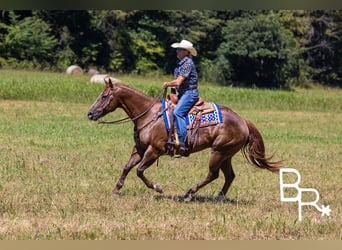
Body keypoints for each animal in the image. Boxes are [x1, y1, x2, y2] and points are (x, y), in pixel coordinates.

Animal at [87, 78, 282, 201]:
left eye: (104, 96)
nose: (90, 113)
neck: (149, 115)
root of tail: (243, 121)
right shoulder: (140, 149)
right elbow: (127, 167)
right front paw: (116, 190)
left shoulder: (154, 150)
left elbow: (139, 171)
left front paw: (158, 187)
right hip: (226, 154)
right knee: (229, 176)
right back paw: (219, 197)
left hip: (218, 152)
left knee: (213, 174)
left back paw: (189, 193)